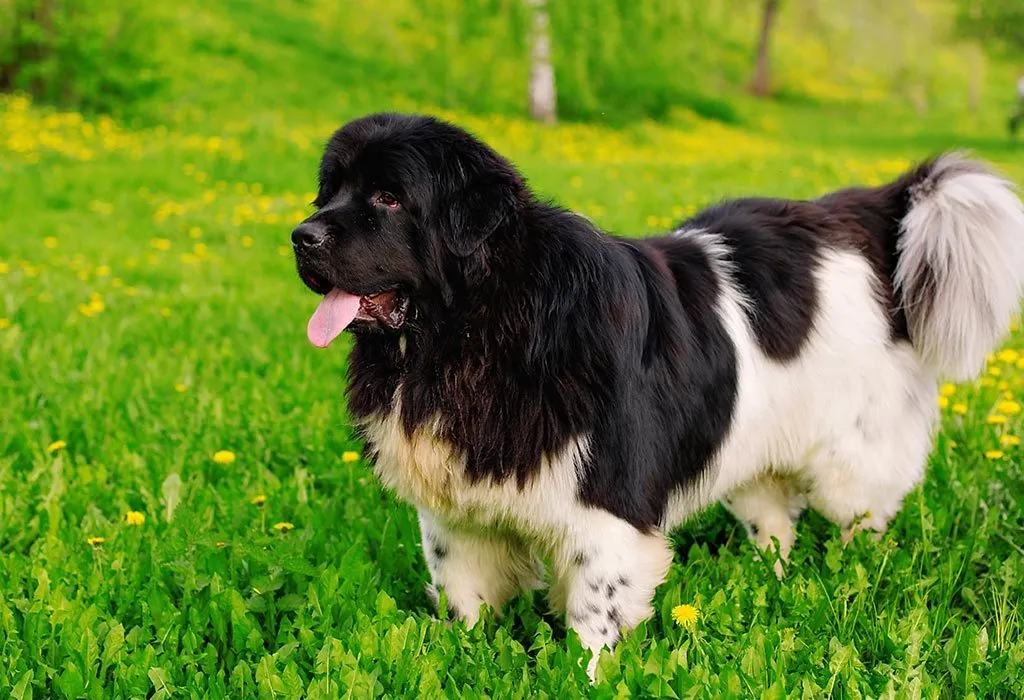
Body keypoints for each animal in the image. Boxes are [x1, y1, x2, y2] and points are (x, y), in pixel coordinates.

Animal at [288, 112, 1024, 675]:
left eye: (388, 198)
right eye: (329, 191)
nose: (301, 235)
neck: (478, 332)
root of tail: (858, 212)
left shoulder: (605, 507)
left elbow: (594, 610)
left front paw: (583, 678)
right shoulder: (458, 514)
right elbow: (463, 596)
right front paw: (463, 661)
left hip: (854, 457)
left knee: (863, 516)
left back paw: (849, 576)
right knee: (773, 520)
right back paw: (770, 576)